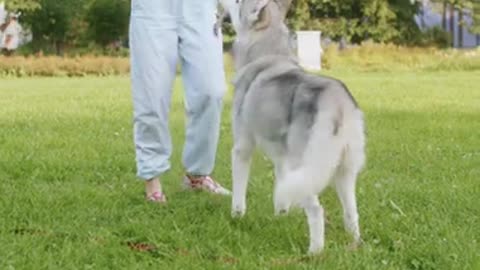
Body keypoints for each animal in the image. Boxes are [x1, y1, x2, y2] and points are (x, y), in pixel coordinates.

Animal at [223, 0, 366, 254]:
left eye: (239, 3)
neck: (269, 54)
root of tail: (337, 101)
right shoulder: (283, 159)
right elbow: (281, 191)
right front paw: (281, 216)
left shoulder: (242, 148)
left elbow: (239, 192)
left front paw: (236, 217)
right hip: (344, 171)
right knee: (351, 212)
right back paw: (355, 243)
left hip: (310, 166)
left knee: (317, 211)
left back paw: (314, 252)